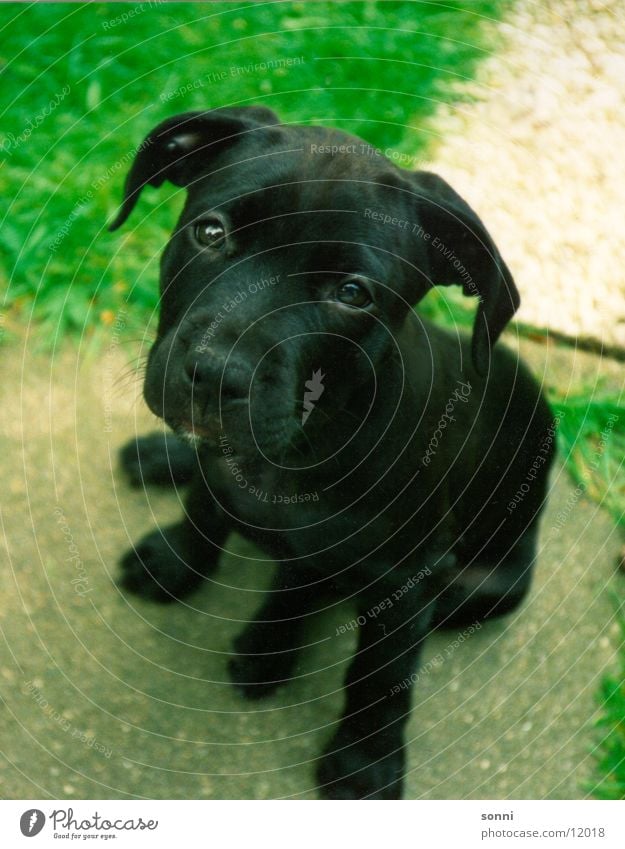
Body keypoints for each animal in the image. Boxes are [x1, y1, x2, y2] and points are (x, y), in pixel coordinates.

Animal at [109, 106, 552, 796]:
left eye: (352, 294)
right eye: (210, 231)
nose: (216, 375)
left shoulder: (407, 583)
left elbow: (379, 678)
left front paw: (363, 764)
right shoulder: (223, 471)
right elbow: (204, 509)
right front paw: (176, 563)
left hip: (487, 586)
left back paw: (269, 646)